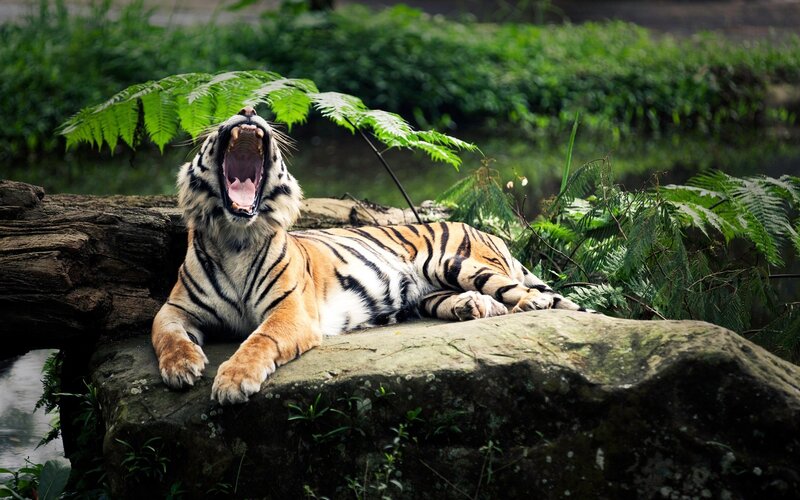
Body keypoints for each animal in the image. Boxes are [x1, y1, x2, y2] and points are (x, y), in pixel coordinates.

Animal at [152, 107, 588, 405]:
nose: (247, 110)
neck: (236, 236)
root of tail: (487, 231)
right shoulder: (177, 307)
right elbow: (164, 333)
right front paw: (182, 366)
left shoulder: (290, 310)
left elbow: (260, 340)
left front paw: (232, 381)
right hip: (432, 292)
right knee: (485, 301)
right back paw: (474, 308)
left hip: (454, 262)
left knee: (534, 295)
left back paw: (527, 303)